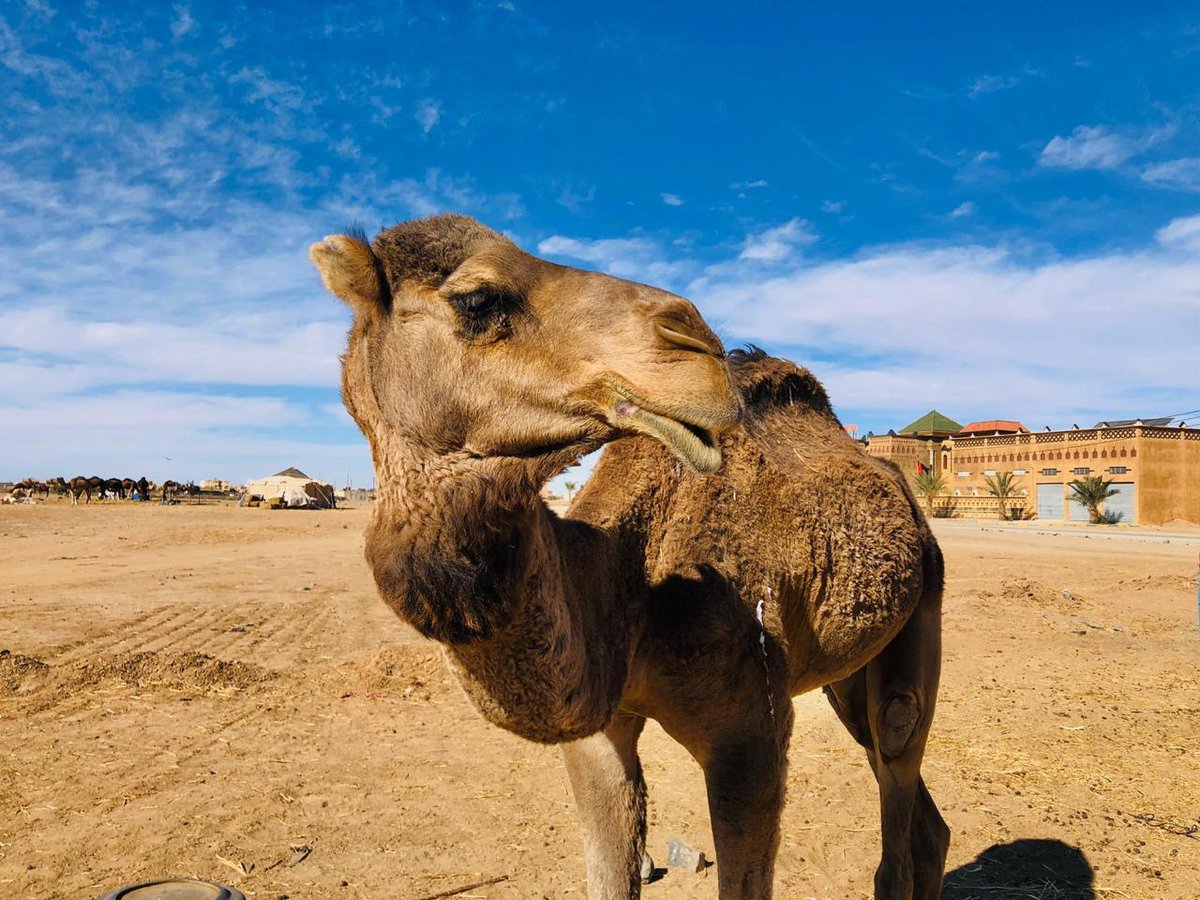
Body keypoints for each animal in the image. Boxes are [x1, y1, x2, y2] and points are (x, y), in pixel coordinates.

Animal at [310, 214, 949, 899]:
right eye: (478, 300)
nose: (694, 338)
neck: (628, 591)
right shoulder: (599, 735)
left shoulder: (751, 737)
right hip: (845, 669)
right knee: (919, 811)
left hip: (924, 603)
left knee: (897, 750)